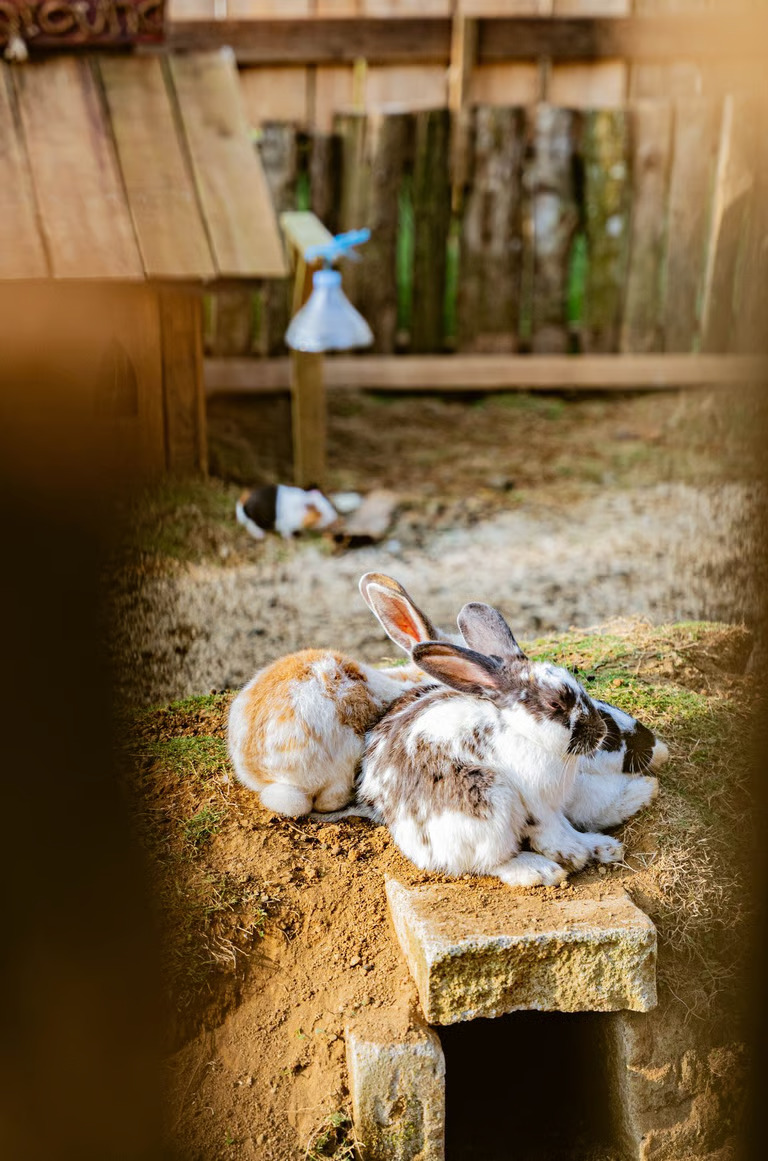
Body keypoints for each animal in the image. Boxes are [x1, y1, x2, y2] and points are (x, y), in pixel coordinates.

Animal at [355, 602, 630, 888]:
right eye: (555, 704)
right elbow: (550, 831)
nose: (600, 732)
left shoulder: (552, 805)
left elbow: (565, 825)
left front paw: (593, 847)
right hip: (487, 803)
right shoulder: (535, 803)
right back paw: (540, 870)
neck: (523, 731)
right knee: (490, 862)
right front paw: (572, 855)